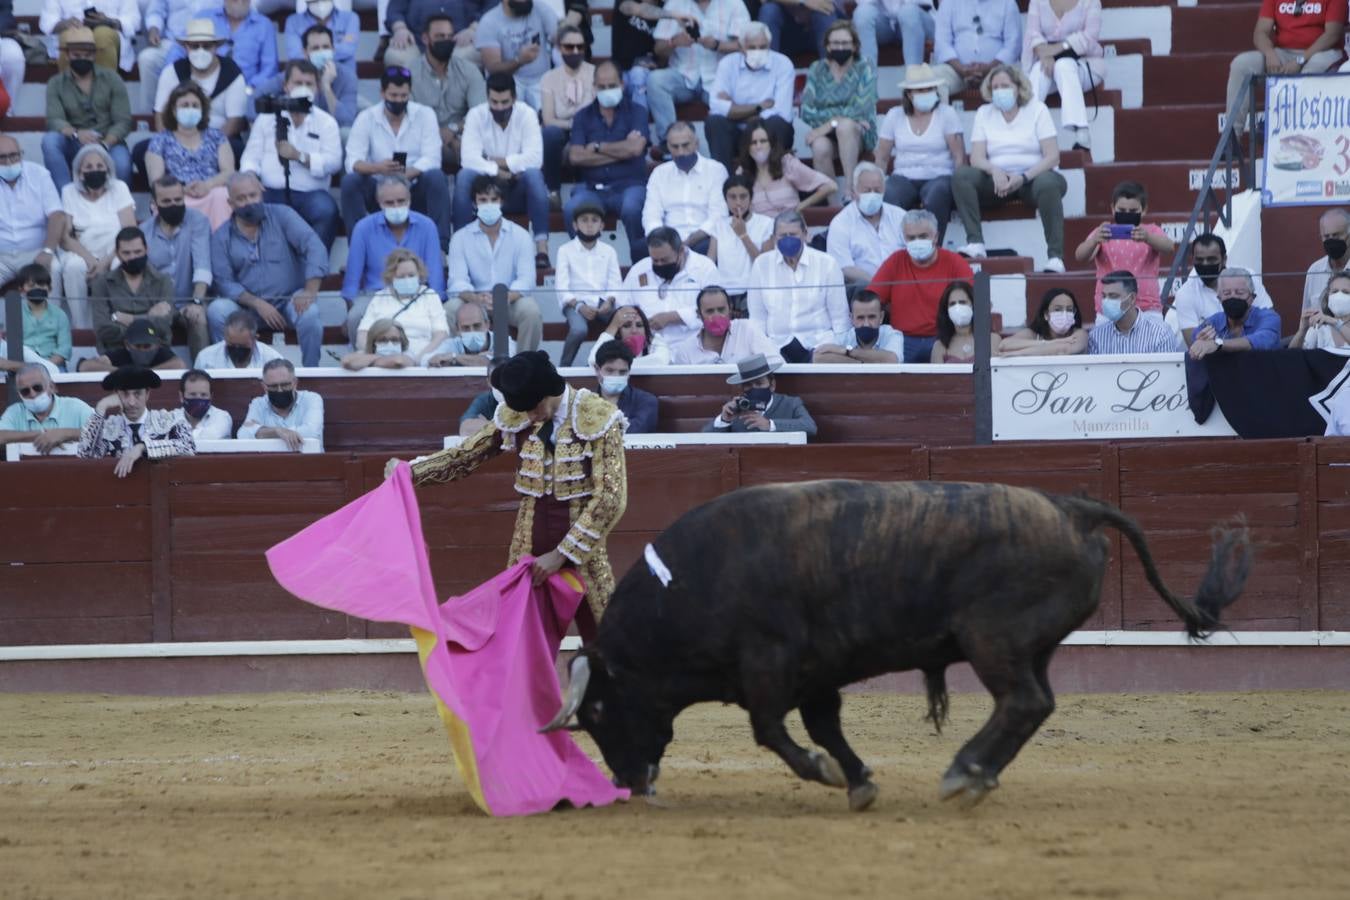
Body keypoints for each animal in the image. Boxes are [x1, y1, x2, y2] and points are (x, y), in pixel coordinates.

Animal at [540, 477, 1252, 809]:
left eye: (597, 709)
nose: (630, 782)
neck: (691, 581)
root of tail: (1073, 509)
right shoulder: (816, 674)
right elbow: (824, 726)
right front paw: (858, 781)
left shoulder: (769, 664)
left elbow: (772, 730)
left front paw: (827, 774)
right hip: (1031, 646)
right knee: (1035, 704)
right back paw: (978, 773)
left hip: (992, 639)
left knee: (1022, 702)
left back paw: (964, 771)